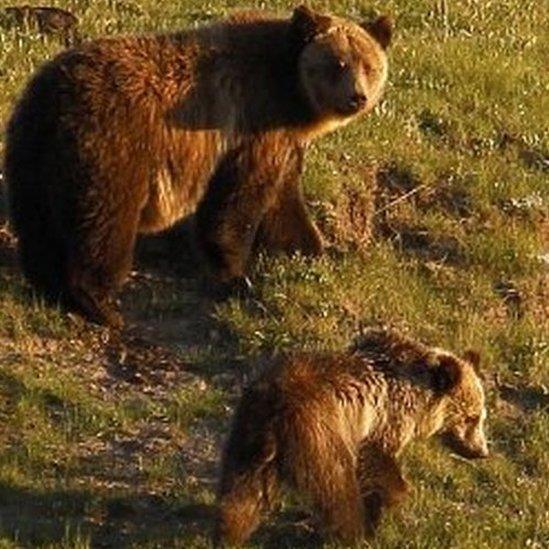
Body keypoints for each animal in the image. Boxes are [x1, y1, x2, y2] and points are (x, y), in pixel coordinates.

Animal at [3, 5, 390, 326]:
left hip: (30, 149)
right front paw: (236, 275)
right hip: (113, 145)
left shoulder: (282, 141)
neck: (290, 93)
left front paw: (312, 250)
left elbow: (282, 203)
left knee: (38, 222)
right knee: (105, 222)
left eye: (369, 65)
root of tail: (53, 97)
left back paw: (49, 284)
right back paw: (100, 304)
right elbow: (236, 203)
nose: (357, 96)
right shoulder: (250, 123)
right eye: (337, 63)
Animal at [214, 328, 488, 544]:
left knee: (241, 492)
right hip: (320, 436)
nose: (481, 451)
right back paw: (352, 533)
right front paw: (389, 501)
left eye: (481, 416)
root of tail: (276, 412)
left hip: (247, 434)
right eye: (471, 417)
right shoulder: (382, 420)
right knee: (337, 490)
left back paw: (229, 533)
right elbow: (376, 464)